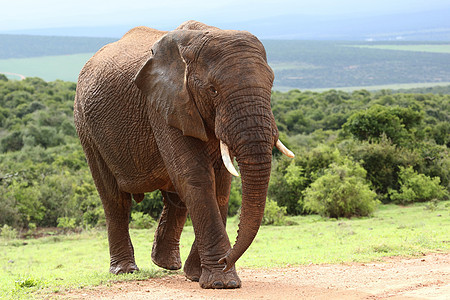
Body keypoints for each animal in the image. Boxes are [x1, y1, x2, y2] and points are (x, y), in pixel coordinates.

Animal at [74, 20, 294, 288]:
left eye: (272, 84)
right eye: (213, 90)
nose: (225, 259)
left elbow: (221, 185)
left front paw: (198, 276)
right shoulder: (164, 105)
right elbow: (196, 177)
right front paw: (221, 282)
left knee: (174, 198)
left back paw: (167, 265)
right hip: (86, 126)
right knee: (115, 199)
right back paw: (125, 271)